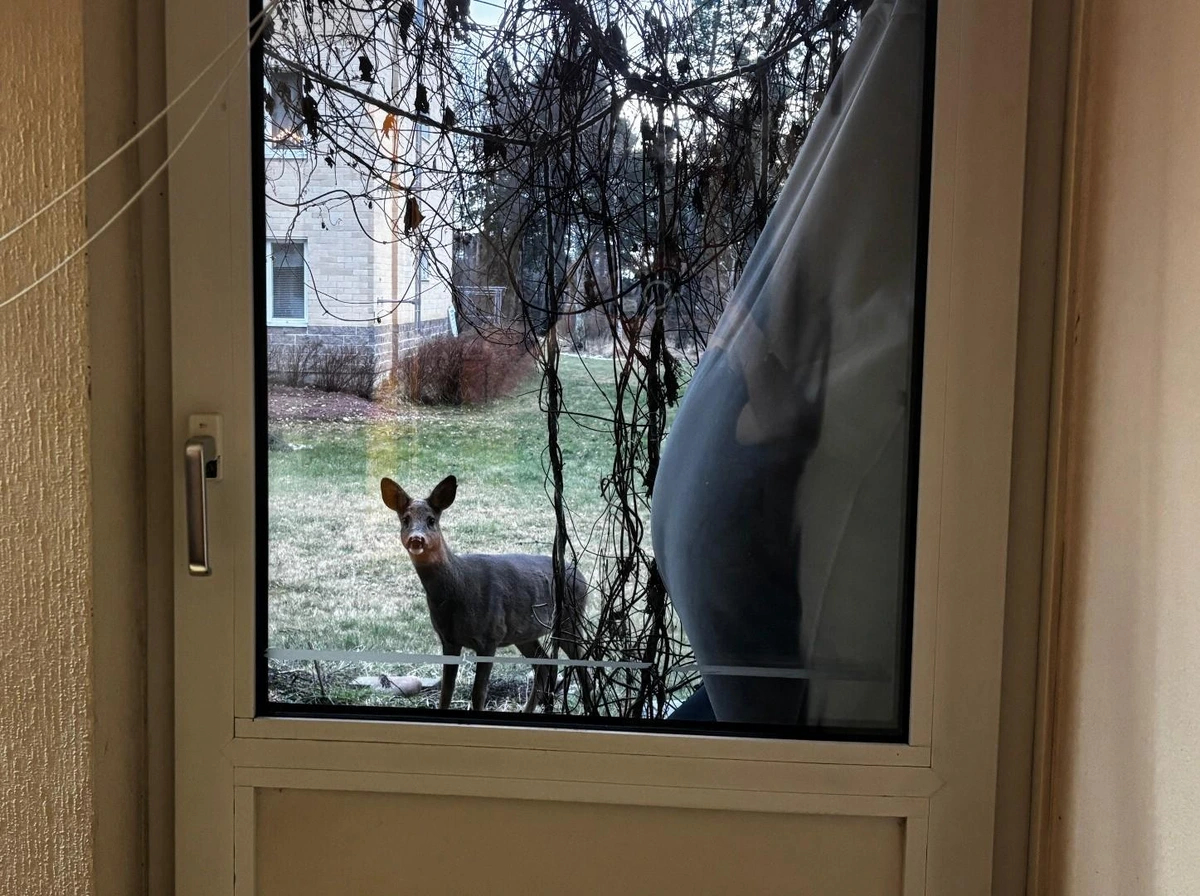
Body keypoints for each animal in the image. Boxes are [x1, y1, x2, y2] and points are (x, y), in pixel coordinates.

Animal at [380, 474, 595, 714]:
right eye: (405, 519)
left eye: (431, 520)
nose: (416, 539)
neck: (459, 589)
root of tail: (581, 575)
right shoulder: (448, 639)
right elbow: (446, 691)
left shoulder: (490, 635)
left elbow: (478, 693)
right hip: (526, 632)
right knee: (543, 667)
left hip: (570, 618)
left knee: (582, 666)